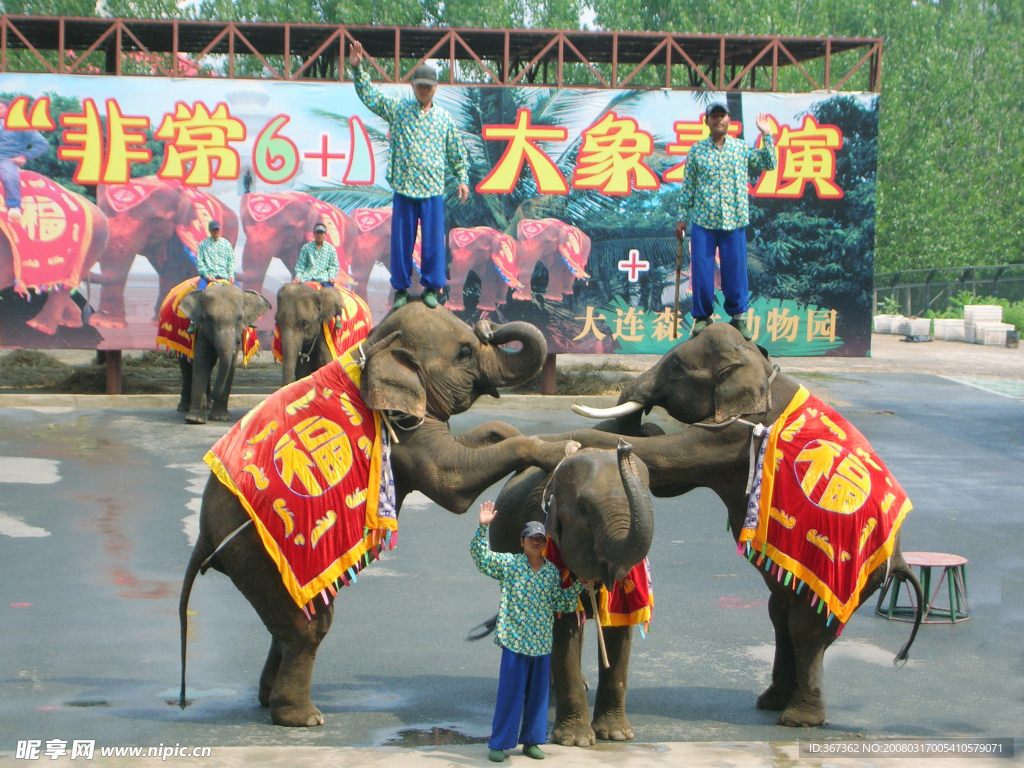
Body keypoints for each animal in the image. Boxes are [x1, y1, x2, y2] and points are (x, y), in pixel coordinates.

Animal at [176, 284, 272, 423]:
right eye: (208, 318)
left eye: (239, 318)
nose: (213, 394)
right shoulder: (201, 328)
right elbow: (202, 359)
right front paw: (195, 420)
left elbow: (230, 363)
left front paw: (221, 418)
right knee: (185, 365)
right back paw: (184, 407)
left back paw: (208, 405)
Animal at [179, 303, 581, 729]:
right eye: (464, 353)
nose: (488, 324)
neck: (375, 344)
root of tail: (203, 537)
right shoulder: (402, 429)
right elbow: (451, 481)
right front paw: (562, 450)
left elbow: (471, 444)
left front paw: (529, 439)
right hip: (256, 552)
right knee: (309, 626)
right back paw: (304, 718)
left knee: (294, 620)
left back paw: (268, 699)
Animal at [489, 442, 655, 749]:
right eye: (583, 509)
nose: (624, 446)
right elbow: (563, 627)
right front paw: (576, 741)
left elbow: (620, 626)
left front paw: (617, 735)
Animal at [540, 321, 925, 729]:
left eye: (676, 366)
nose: (646, 420)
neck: (759, 364)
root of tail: (899, 561)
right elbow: (669, 481)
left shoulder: (731, 435)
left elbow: (665, 460)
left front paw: (543, 443)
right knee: (781, 613)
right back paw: (771, 701)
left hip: (844, 574)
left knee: (805, 627)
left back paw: (797, 719)